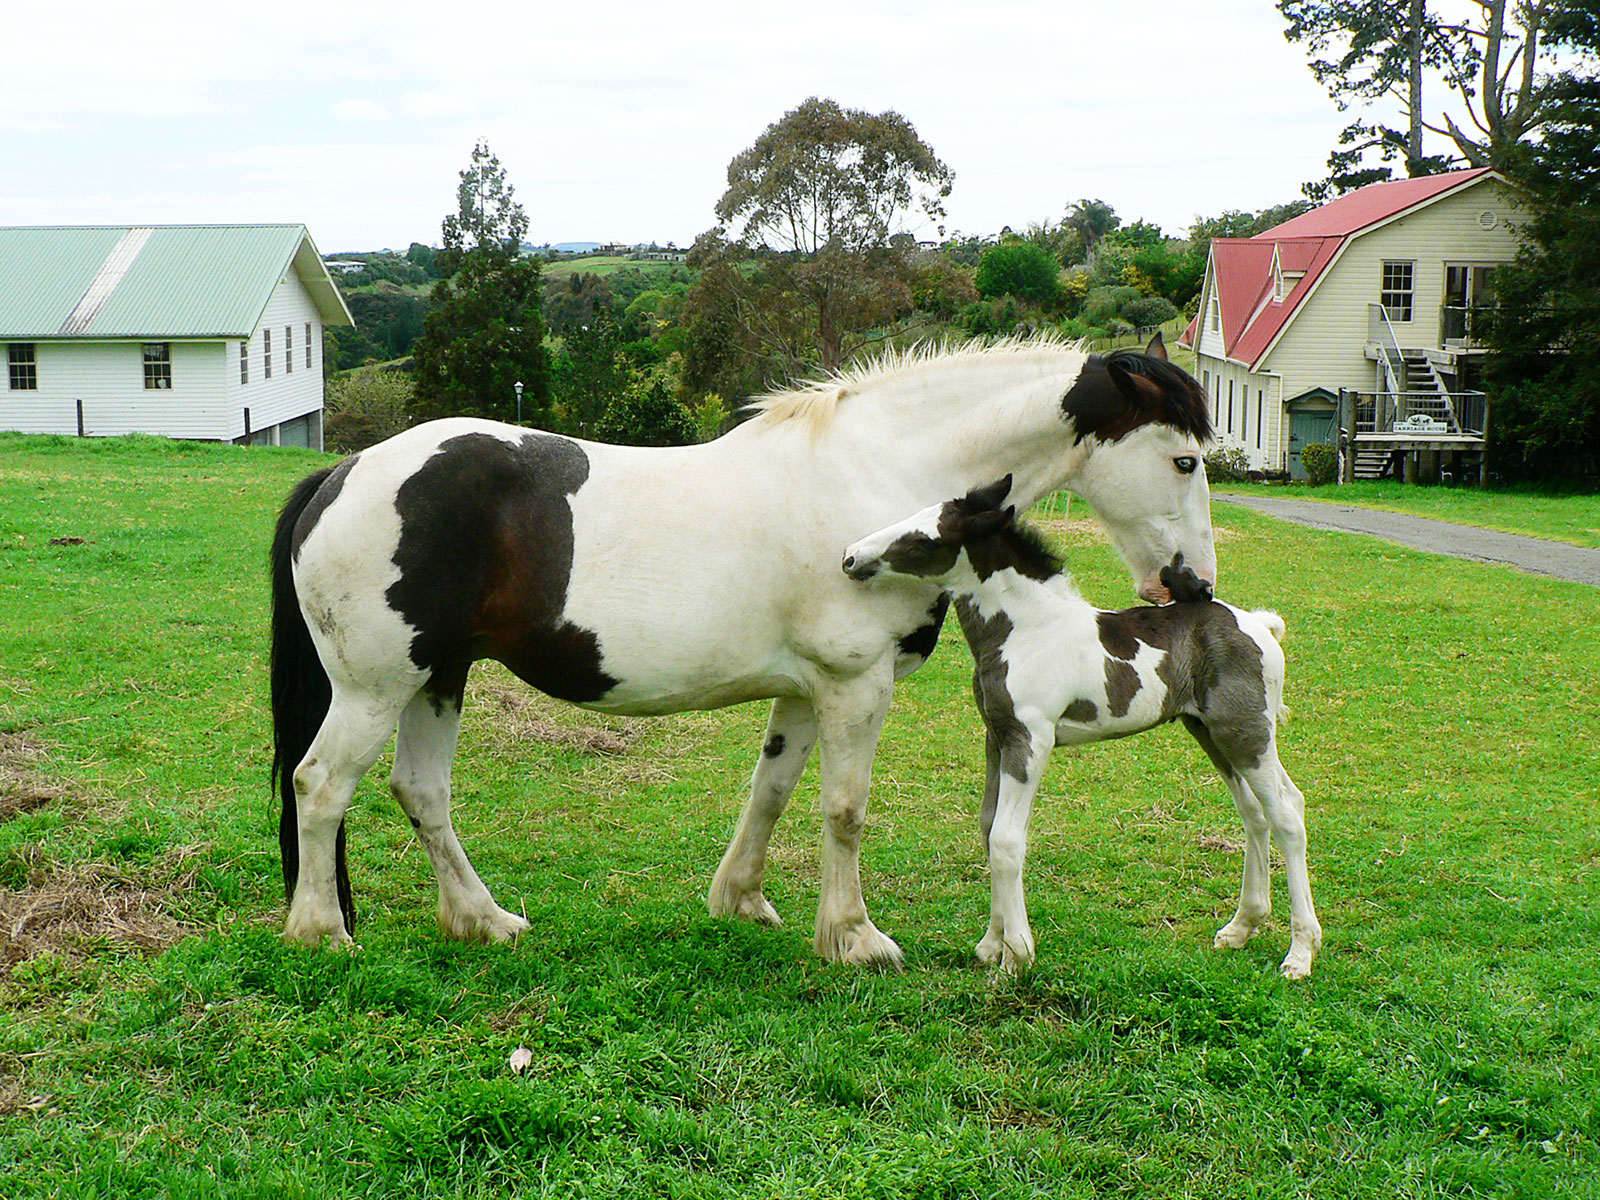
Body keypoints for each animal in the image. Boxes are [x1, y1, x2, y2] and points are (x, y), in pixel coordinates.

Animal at [272, 331, 1209, 966]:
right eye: (1186, 460)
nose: (1192, 586)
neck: (885, 474)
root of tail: (343, 472)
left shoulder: (806, 690)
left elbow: (773, 791)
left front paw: (743, 901)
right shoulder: (857, 685)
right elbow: (845, 809)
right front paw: (855, 937)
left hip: (437, 676)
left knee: (422, 793)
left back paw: (482, 919)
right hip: (375, 689)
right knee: (320, 787)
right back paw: (321, 932)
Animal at [844, 476, 1318, 979]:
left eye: (925, 538)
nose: (850, 558)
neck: (1026, 628)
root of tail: (1261, 624)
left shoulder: (1031, 740)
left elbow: (1007, 839)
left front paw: (1016, 955)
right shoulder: (997, 736)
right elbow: (989, 827)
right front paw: (992, 943)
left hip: (1246, 731)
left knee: (1287, 813)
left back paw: (1300, 952)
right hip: (1210, 730)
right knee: (1255, 811)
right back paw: (1241, 927)